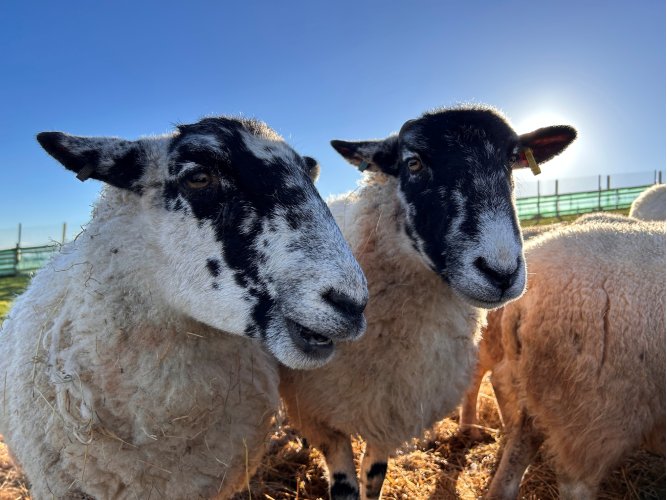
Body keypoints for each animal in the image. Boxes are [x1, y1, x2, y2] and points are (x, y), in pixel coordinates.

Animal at [279, 105, 577, 499]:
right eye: (414, 163)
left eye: (512, 161)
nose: (501, 272)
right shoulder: (321, 418)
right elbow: (345, 486)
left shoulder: (391, 411)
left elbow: (374, 476)